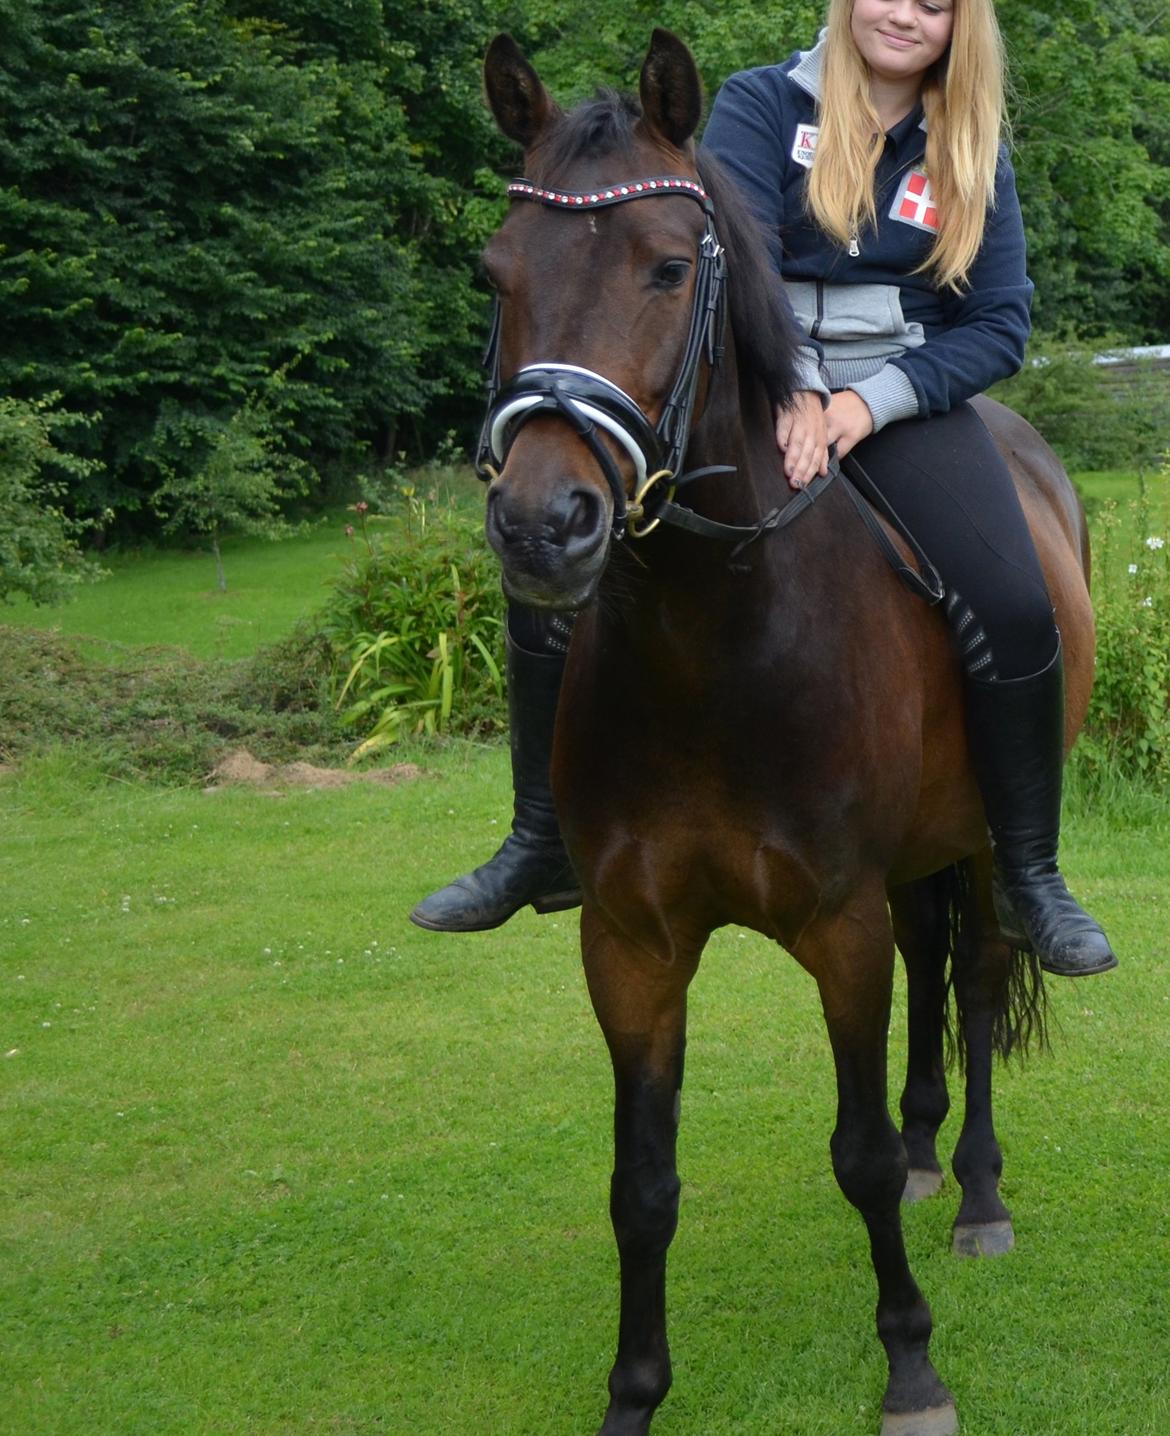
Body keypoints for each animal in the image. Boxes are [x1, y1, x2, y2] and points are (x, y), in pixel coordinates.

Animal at [473, 25, 1091, 1436]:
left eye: (666, 266)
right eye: (496, 272)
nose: (543, 526)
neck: (717, 641)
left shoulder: (837, 923)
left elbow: (851, 1151)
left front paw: (911, 1363)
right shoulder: (629, 943)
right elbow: (640, 1184)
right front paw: (633, 1393)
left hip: (986, 847)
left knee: (978, 977)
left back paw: (974, 1186)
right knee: (935, 971)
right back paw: (930, 1150)